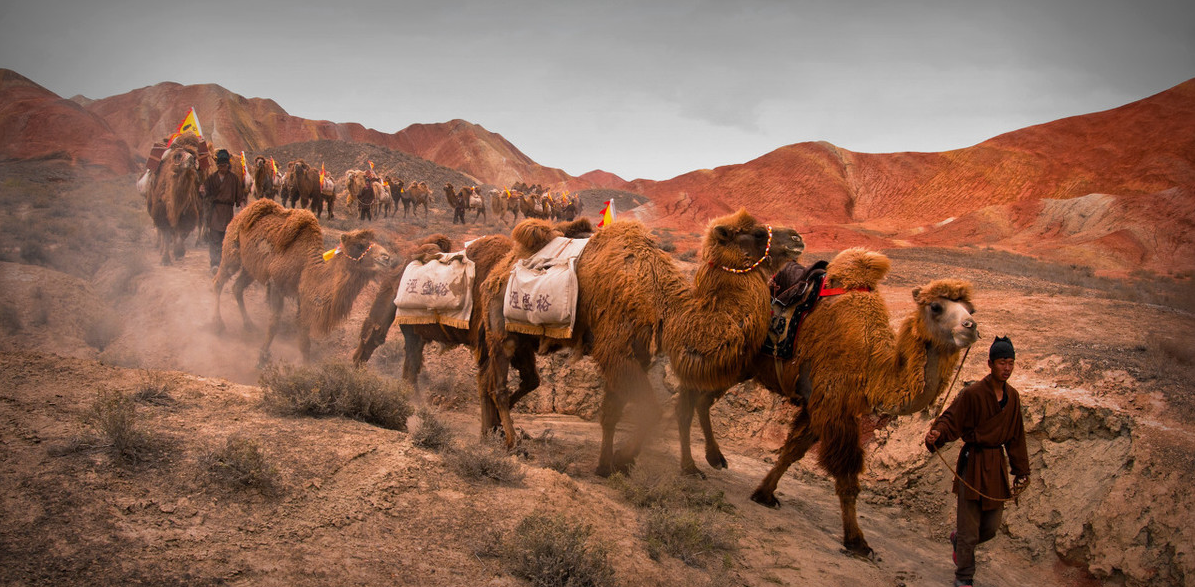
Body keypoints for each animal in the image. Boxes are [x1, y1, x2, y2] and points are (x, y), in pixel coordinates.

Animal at [148, 132, 204, 265]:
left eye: (193, 155)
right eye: (179, 155)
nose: (190, 159)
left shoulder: (188, 214)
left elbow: (182, 234)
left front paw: (179, 252)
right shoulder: (162, 213)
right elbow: (167, 234)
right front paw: (165, 259)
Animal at [207, 199, 389, 365]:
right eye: (360, 245)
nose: (386, 257)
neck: (307, 266)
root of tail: (243, 212)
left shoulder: (303, 295)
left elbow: (303, 333)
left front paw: (305, 367)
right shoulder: (276, 284)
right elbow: (274, 322)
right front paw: (262, 357)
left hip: (250, 267)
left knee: (237, 287)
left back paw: (248, 325)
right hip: (233, 251)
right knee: (218, 281)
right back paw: (217, 324)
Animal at [478, 211, 803, 478]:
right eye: (758, 233)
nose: (797, 238)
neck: (663, 302)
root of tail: (498, 269)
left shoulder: (637, 354)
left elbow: (612, 412)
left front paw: (605, 466)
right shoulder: (615, 350)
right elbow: (652, 411)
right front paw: (623, 459)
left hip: (524, 339)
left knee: (502, 380)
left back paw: (492, 431)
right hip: (500, 329)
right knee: (498, 387)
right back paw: (511, 443)